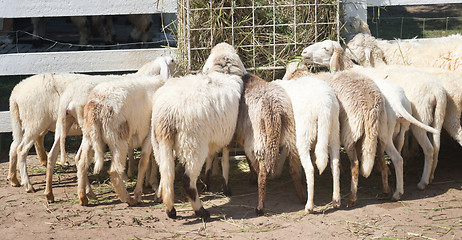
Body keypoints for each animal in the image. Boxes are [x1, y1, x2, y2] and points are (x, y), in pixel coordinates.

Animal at [150, 42, 245, 219]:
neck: (223, 73)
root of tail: (168, 112)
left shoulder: (214, 135)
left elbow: (211, 157)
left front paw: (207, 182)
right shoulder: (228, 136)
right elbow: (225, 161)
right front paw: (226, 189)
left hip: (159, 143)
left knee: (166, 173)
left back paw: (169, 207)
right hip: (193, 145)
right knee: (187, 181)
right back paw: (201, 211)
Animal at [272, 61, 342, 212]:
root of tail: (323, 107)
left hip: (305, 134)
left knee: (310, 168)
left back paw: (309, 206)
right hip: (333, 132)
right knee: (335, 164)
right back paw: (336, 200)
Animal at [302, 39, 446, 193]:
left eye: (325, 48)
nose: (304, 52)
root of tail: (437, 91)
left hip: (420, 117)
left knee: (428, 149)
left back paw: (422, 182)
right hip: (436, 119)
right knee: (436, 146)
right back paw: (430, 176)